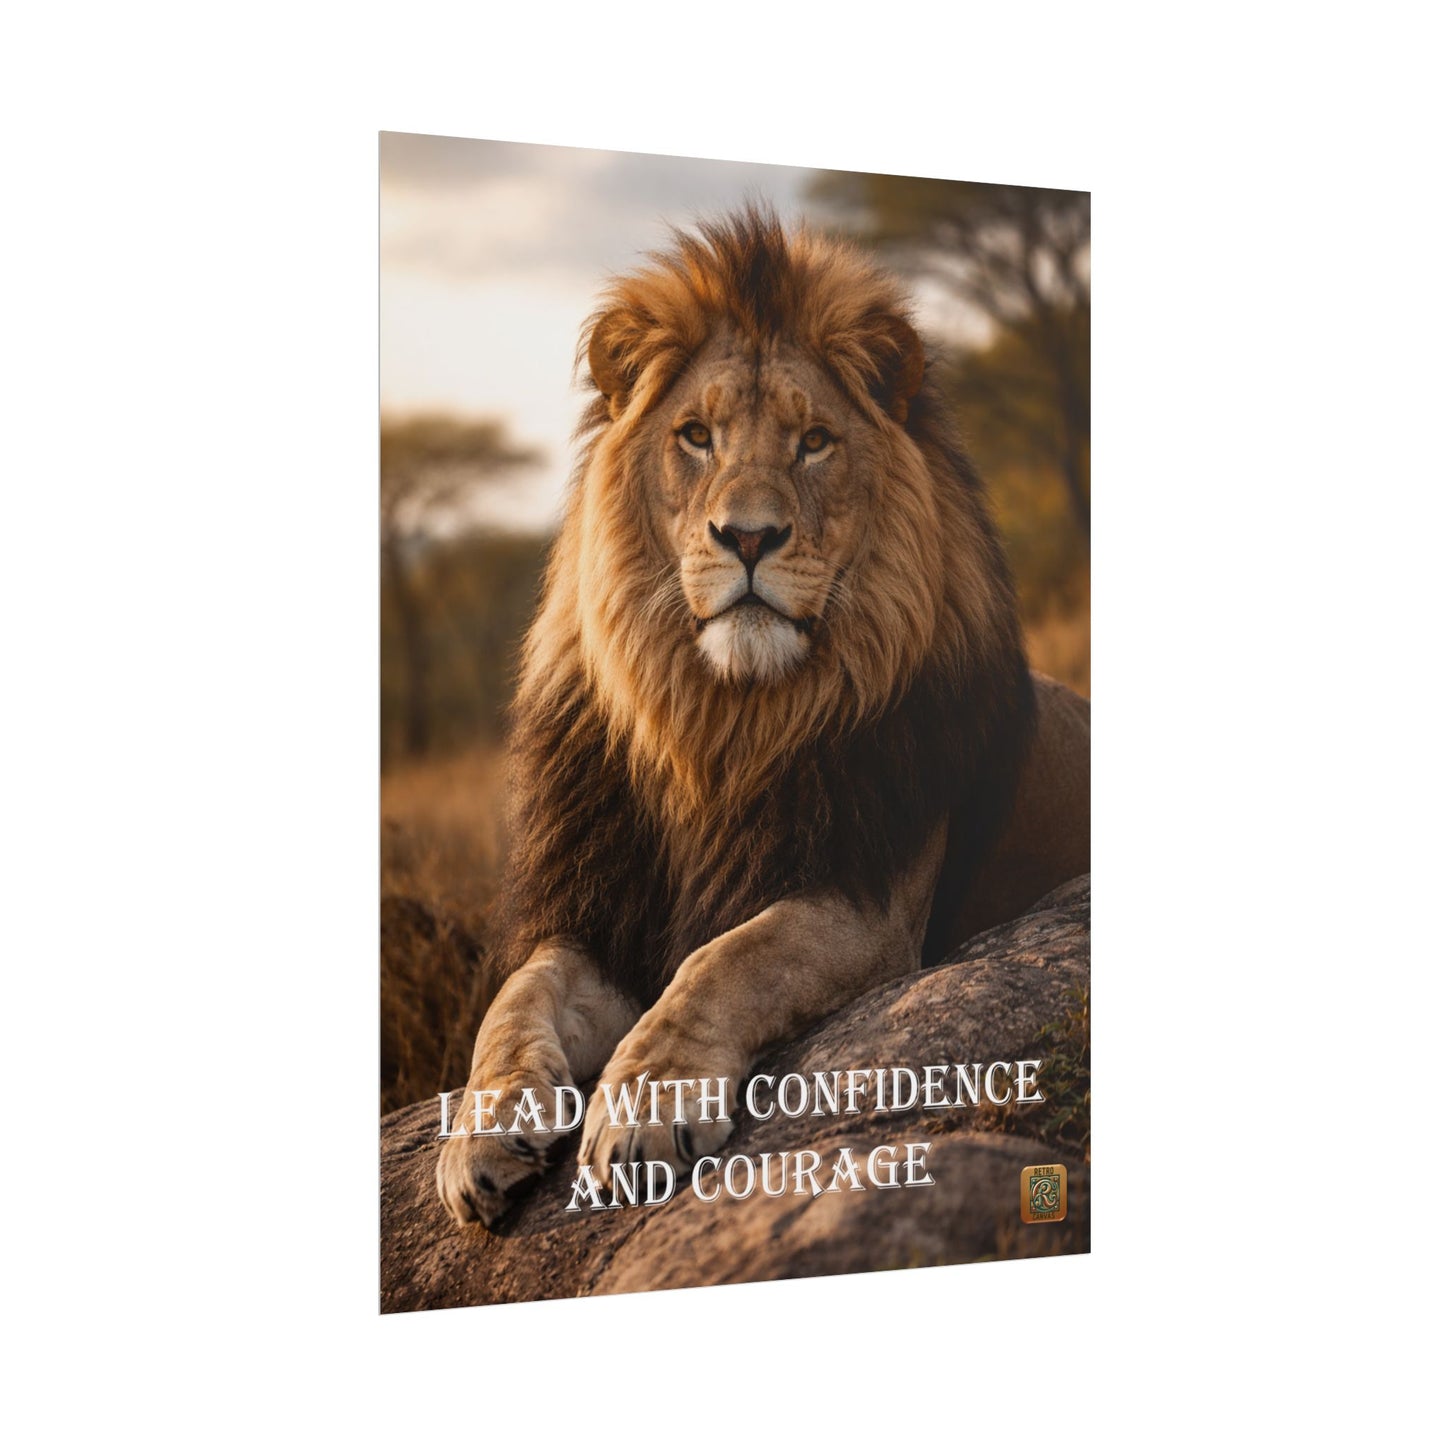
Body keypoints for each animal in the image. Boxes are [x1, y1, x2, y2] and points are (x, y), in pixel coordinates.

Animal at [436, 206, 1089, 1226]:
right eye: (696, 436)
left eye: (813, 440)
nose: (747, 536)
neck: (723, 724)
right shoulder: (603, 913)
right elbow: (515, 995)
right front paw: (480, 1128)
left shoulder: (865, 899)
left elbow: (728, 960)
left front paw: (646, 1106)